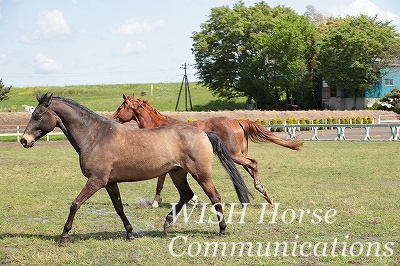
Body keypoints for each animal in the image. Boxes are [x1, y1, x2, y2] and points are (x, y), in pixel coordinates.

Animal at [21, 93, 250, 243]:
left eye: (38, 115)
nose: (24, 140)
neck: (95, 136)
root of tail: (204, 133)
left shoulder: (96, 181)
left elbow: (75, 204)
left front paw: (64, 235)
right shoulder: (110, 183)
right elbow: (119, 208)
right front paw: (130, 233)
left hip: (201, 173)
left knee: (215, 196)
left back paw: (221, 230)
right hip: (177, 173)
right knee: (186, 195)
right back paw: (166, 225)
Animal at [110, 93, 304, 208]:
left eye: (120, 107)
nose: (112, 118)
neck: (159, 126)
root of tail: (237, 121)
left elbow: (160, 182)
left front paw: (156, 203)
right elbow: (162, 181)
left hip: (234, 155)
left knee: (253, 163)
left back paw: (259, 191)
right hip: (238, 155)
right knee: (251, 168)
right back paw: (265, 195)